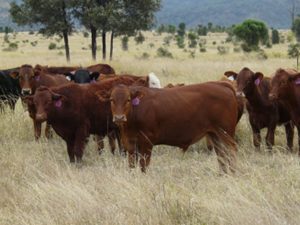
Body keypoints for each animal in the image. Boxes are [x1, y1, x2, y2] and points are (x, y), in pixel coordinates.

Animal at [98, 81, 239, 173]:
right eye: (111, 100)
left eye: (127, 100)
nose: (119, 118)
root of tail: (220, 84)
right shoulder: (130, 143)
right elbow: (132, 165)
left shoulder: (147, 142)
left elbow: (144, 166)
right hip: (215, 134)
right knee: (221, 154)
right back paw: (223, 174)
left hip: (225, 132)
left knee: (232, 150)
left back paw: (232, 172)